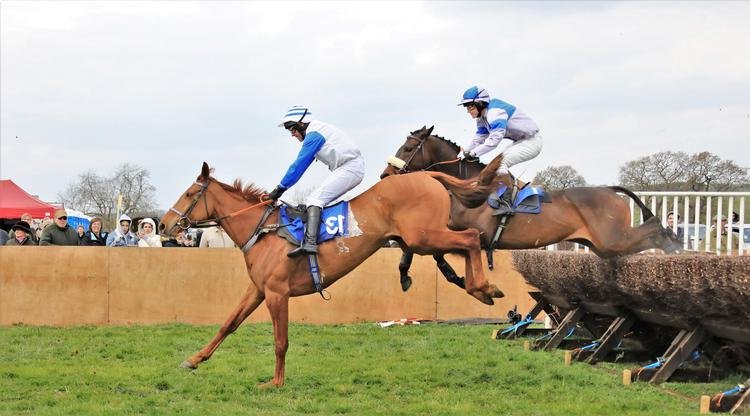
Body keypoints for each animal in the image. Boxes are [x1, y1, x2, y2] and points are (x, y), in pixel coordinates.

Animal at [157, 162, 506, 386]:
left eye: (188, 194)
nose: (163, 224)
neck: (263, 230)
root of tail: (427, 174)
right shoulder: (257, 290)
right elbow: (228, 324)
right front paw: (194, 359)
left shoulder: (277, 294)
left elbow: (280, 341)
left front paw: (276, 382)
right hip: (421, 239)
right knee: (463, 244)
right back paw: (476, 287)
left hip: (423, 236)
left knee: (472, 237)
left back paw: (483, 288)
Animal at [378, 125, 684, 290]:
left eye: (408, 148)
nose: (385, 175)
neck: (468, 188)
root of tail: (609, 190)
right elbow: (413, 246)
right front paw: (406, 274)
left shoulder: (473, 234)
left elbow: (434, 251)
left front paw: (454, 276)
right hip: (602, 245)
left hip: (612, 239)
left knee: (652, 227)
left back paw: (673, 243)